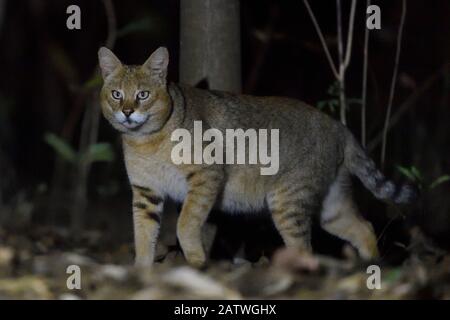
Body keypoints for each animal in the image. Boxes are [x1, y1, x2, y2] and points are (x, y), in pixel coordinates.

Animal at [97, 46, 414, 268]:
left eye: (142, 94)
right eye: (116, 94)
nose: (127, 112)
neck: (145, 142)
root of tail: (338, 126)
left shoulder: (205, 177)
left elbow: (185, 223)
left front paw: (197, 261)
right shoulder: (145, 192)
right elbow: (143, 235)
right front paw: (141, 270)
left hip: (288, 201)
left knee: (305, 248)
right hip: (330, 203)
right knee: (364, 227)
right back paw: (372, 269)